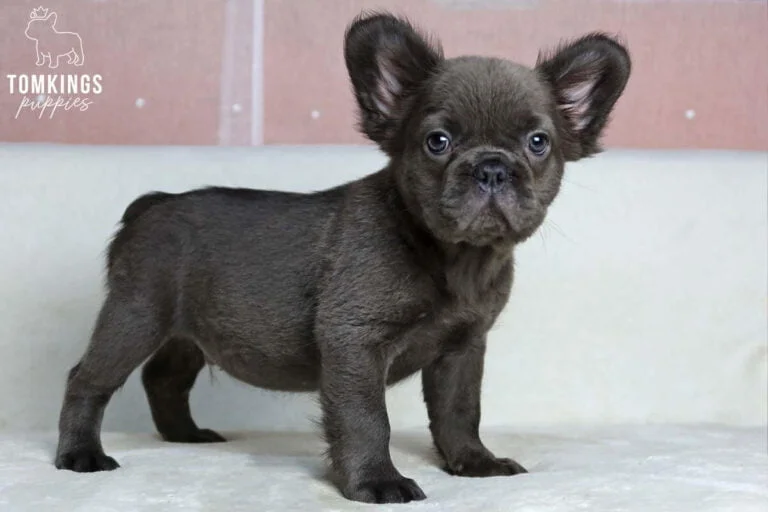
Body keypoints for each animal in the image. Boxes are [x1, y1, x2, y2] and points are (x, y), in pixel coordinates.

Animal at [52, 11, 632, 504]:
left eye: (538, 143)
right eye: (437, 142)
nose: (492, 167)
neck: (453, 256)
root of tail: (153, 204)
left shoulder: (463, 350)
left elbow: (460, 411)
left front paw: (473, 462)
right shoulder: (356, 342)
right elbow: (366, 418)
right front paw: (377, 482)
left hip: (186, 331)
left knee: (165, 378)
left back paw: (185, 436)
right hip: (136, 315)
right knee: (89, 378)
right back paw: (80, 455)